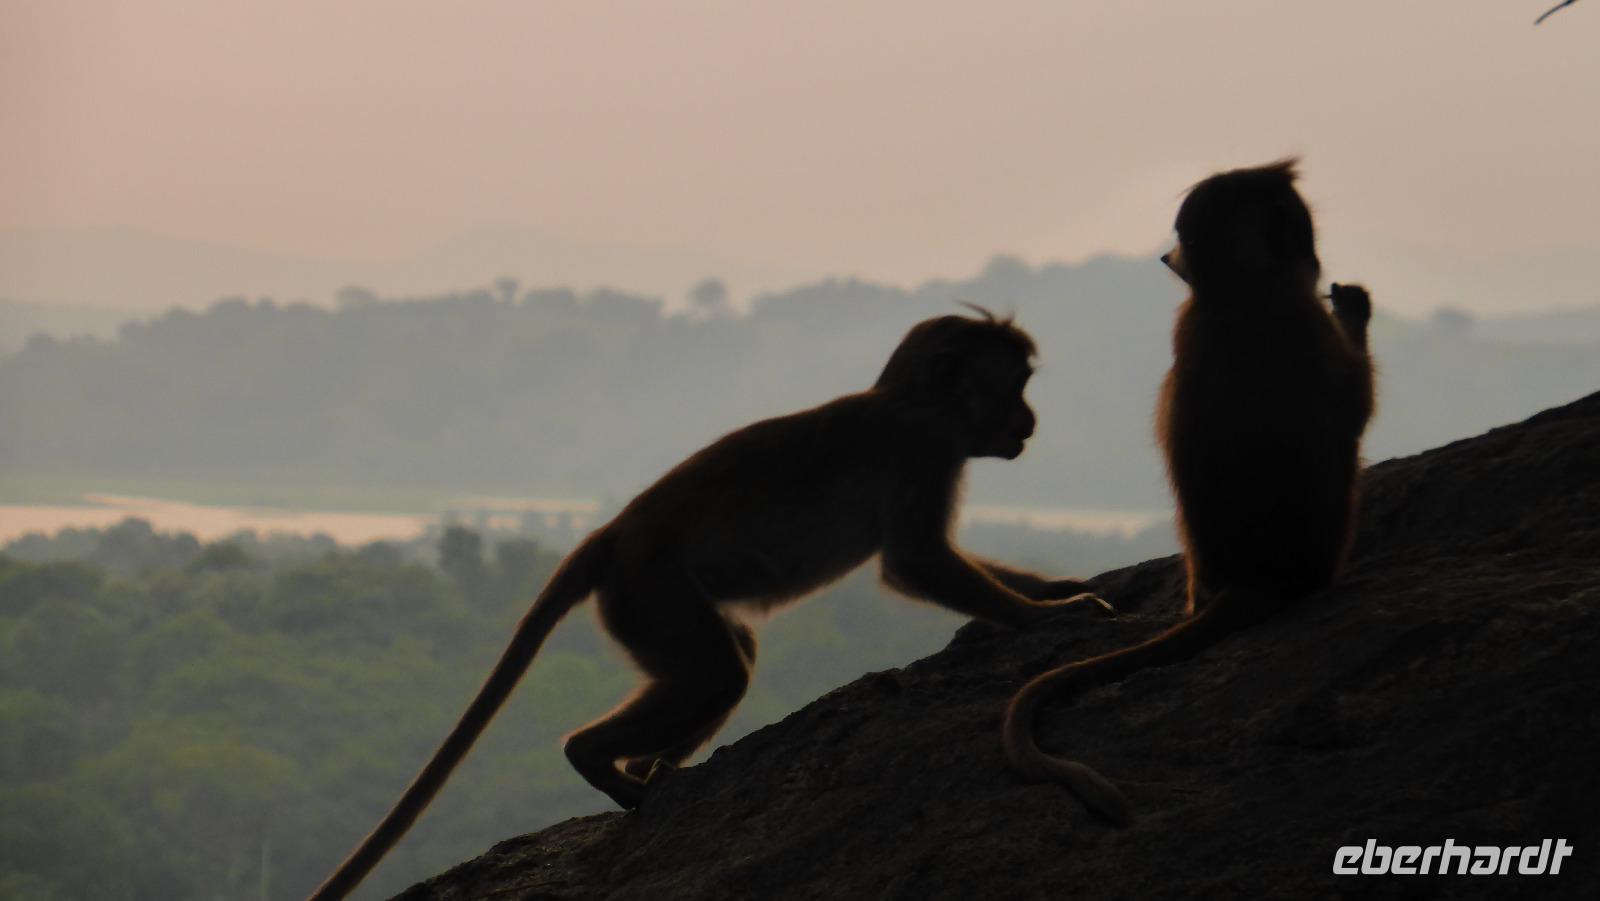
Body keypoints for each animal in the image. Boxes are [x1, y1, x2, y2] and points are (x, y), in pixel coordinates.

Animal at [308, 310, 1114, 901]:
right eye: (1013, 388)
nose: (1030, 422)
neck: (914, 403)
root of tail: (612, 533)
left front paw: (1050, 591)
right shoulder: (918, 448)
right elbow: (914, 560)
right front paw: (1048, 616)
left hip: (644, 604)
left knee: (727, 667)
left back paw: (651, 772)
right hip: (649, 591)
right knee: (716, 673)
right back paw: (600, 760)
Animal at [1001, 160, 1376, 826]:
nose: (1166, 256)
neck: (1241, 289)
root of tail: (1254, 578)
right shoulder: (1302, 319)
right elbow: (1354, 410)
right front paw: (1354, 308)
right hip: (1327, 546)